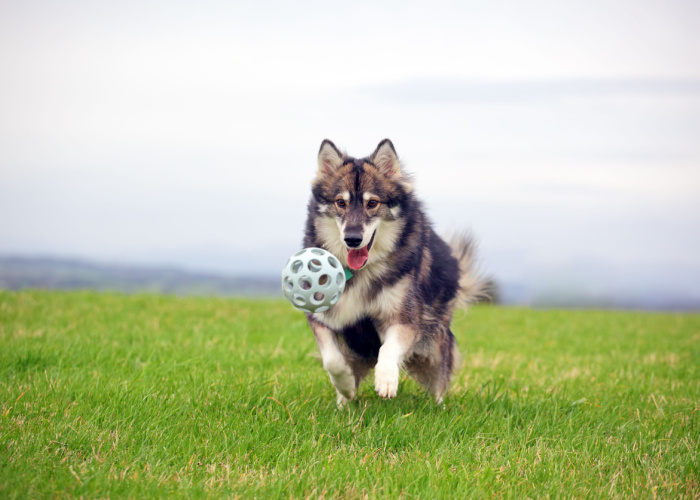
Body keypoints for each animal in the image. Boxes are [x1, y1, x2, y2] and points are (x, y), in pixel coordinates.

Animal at [300, 139, 486, 404]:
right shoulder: (320, 315)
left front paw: (386, 379)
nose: (352, 239)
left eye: (372, 203)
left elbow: (388, 348)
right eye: (340, 202)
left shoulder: (404, 319)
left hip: (433, 349)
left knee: (439, 381)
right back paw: (343, 402)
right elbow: (332, 360)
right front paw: (345, 384)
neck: (361, 272)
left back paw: (439, 407)